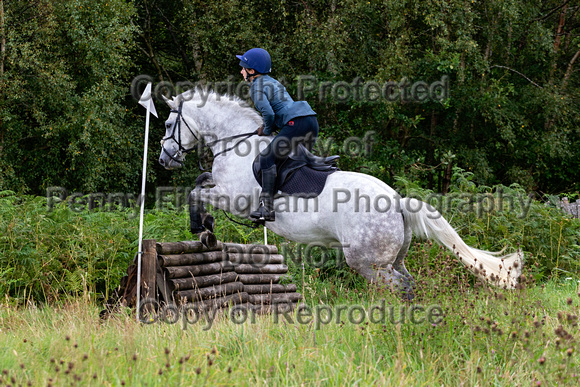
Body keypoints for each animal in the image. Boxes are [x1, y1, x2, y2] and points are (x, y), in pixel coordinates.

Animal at [157, 91, 520, 300]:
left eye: (169, 123)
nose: (164, 159)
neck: (237, 141)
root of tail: (398, 201)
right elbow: (201, 181)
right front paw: (206, 226)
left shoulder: (235, 199)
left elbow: (196, 191)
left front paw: (201, 226)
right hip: (393, 258)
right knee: (408, 282)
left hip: (366, 261)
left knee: (396, 287)